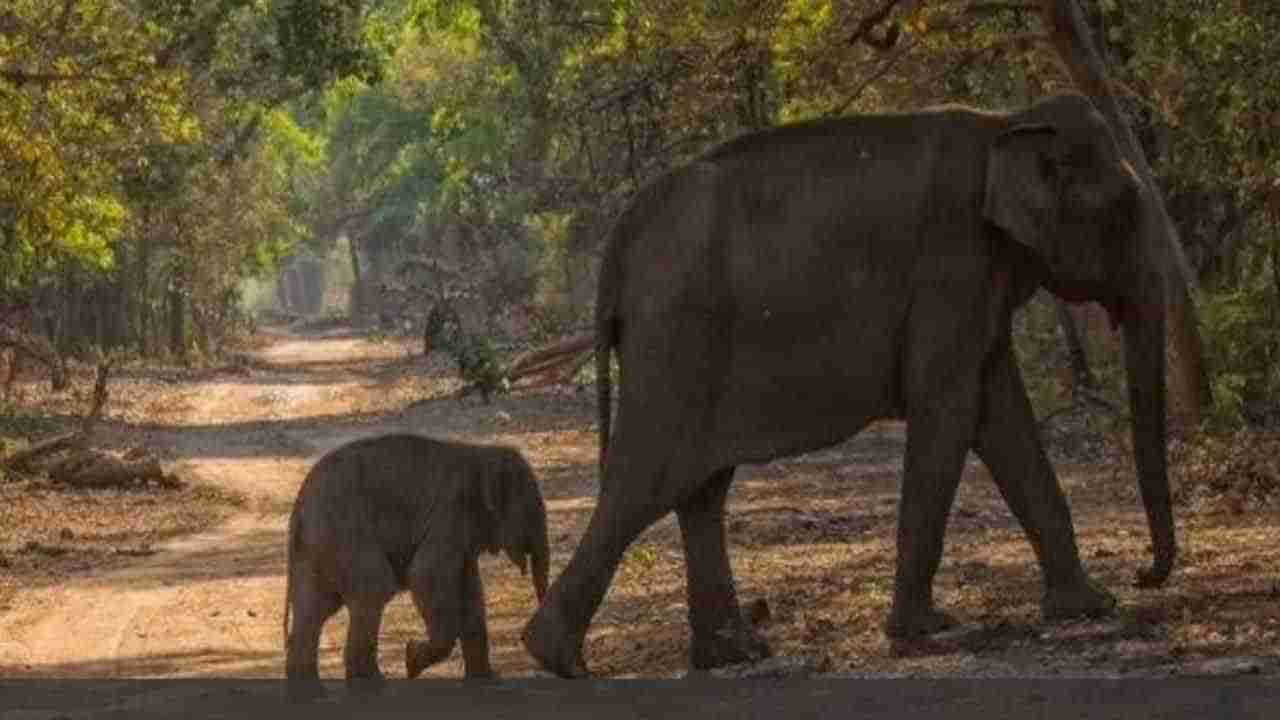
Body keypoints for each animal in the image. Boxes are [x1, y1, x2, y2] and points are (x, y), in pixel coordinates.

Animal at [282, 430, 547, 696]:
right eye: (531, 512)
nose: (524, 638)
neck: (482, 454)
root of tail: (299, 507)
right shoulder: (448, 515)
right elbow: (424, 576)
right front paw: (411, 662)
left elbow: (470, 590)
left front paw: (487, 683)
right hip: (343, 533)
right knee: (373, 588)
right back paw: (373, 688)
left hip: (317, 546)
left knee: (317, 607)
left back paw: (311, 695)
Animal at [519, 92, 1172, 676]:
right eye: (1122, 210)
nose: (1145, 573)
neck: (1008, 122)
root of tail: (621, 240)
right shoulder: (952, 263)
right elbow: (950, 411)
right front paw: (928, 630)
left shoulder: (978, 277)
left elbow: (1000, 414)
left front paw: (1089, 607)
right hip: (676, 339)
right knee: (647, 480)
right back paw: (557, 659)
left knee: (699, 487)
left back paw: (733, 655)